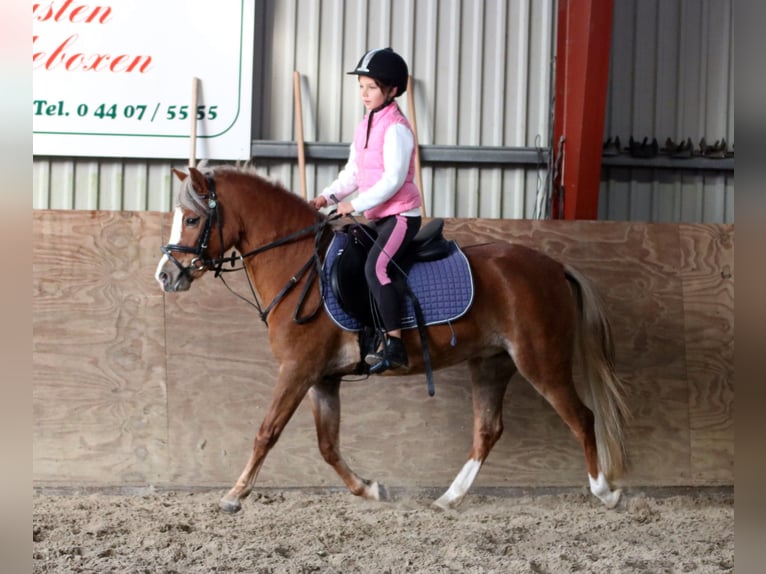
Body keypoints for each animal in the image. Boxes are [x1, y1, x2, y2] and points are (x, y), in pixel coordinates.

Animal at [156, 164, 632, 516]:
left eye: (193, 219)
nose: (165, 275)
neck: (299, 264)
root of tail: (553, 266)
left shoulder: (297, 370)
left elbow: (266, 432)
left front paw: (234, 495)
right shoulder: (321, 379)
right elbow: (328, 447)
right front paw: (371, 489)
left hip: (542, 362)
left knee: (582, 418)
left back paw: (606, 492)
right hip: (491, 364)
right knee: (488, 430)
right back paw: (449, 498)